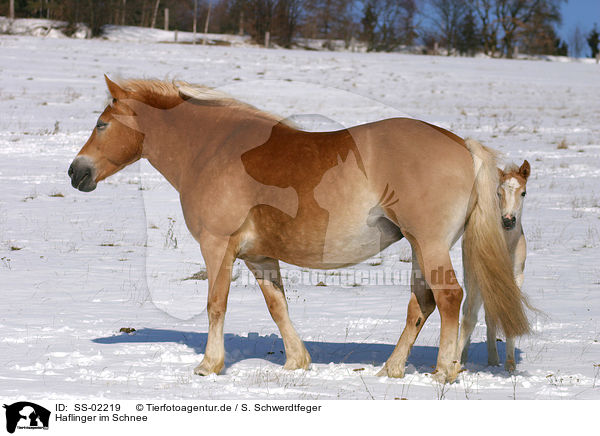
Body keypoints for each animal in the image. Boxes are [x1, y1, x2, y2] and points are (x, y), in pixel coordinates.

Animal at [460, 160, 528, 372]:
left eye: (523, 193)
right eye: (499, 193)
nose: (508, 220)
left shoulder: (516, 278)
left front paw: (510, 365)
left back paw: (492, 360)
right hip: (472, 279)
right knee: (469, 310)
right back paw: (464, 358)